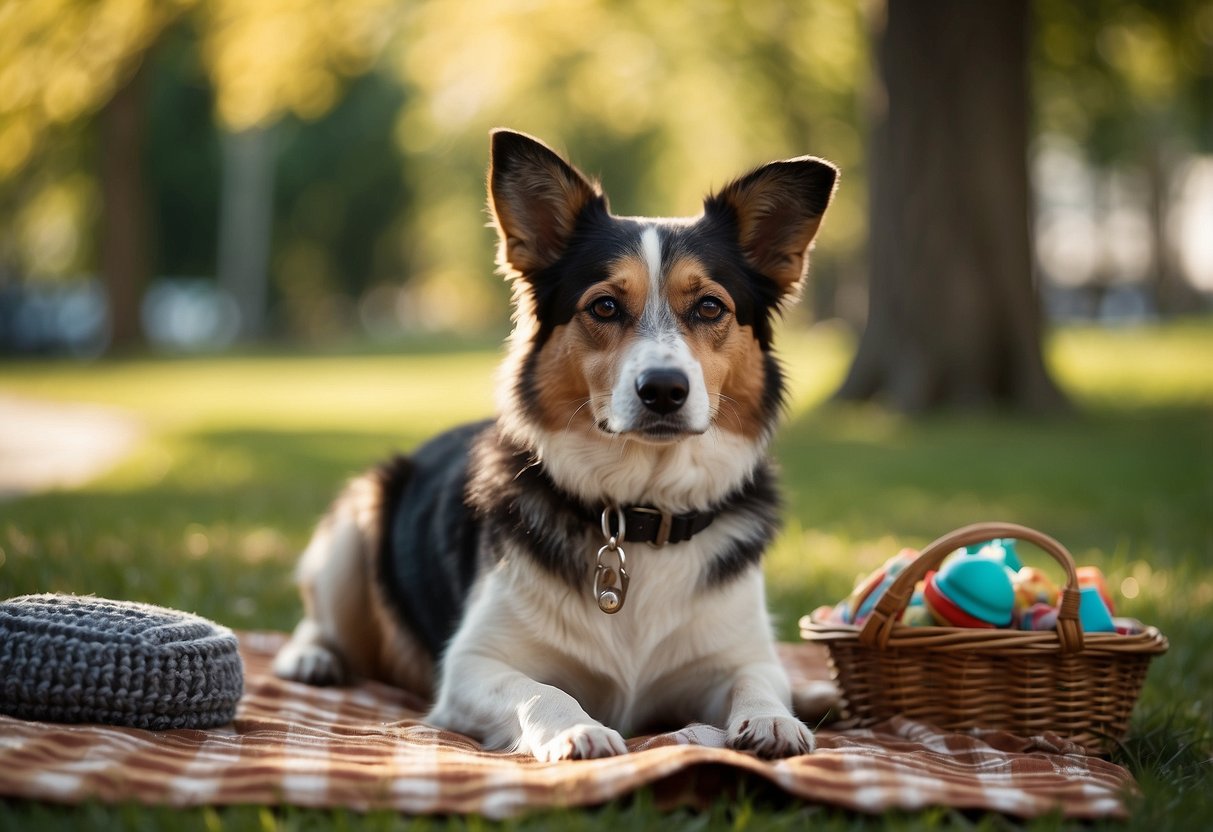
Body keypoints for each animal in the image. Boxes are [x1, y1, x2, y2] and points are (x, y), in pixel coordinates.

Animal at [272, 130, 834, 761]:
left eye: (710, 306)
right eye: (605, 306)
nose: (664, 389)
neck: (636, 511)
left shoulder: (737, 653)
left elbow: (759, 676)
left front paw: (774, 719)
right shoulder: (471, 666)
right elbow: (542, 691)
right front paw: (577, 729)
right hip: (356, 525)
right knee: (320, 620)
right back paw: (311, 658)